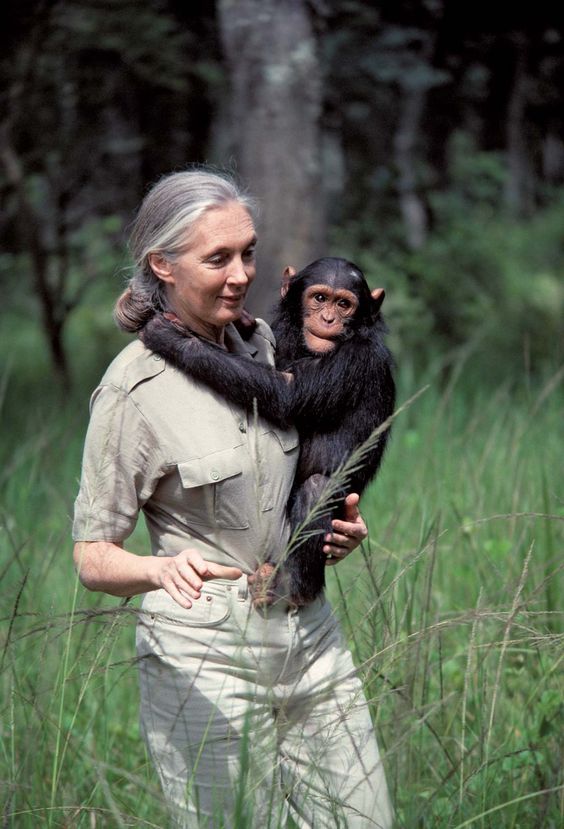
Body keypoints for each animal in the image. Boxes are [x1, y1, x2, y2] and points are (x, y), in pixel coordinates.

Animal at [141, 258, 396, 608]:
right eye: (320, 298)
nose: (329, 318)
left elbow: (287, 393)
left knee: (317, 488)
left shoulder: (355, 359)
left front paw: (171, 337)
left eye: (344, 304)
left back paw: (292, 585)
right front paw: (244, 320)